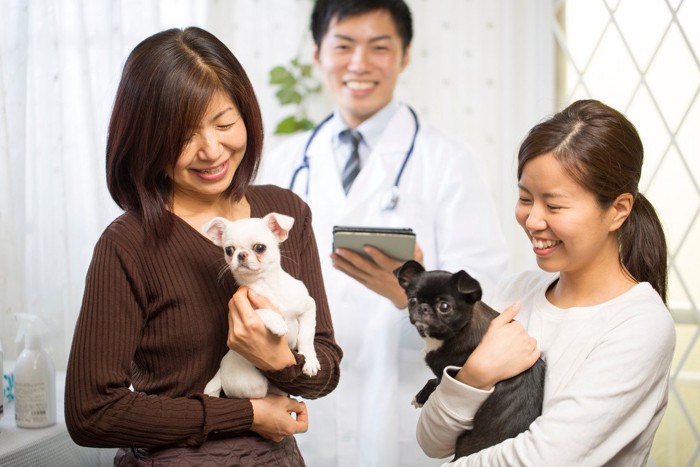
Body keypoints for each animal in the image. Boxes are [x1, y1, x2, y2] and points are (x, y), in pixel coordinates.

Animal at [202, 212, 320, 398]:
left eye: (259, 248)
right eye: (229, 250)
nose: (241, 254)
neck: (266, 284)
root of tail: (220, 371)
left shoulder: (309, 307)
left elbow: (306, 337)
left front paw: (309, 360)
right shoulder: (244, 308)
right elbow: (262, 311)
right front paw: (277, 322)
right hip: (253, 384)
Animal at [396, 262, 544, 458]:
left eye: (444, 306)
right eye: (412, 300)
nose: (423, 307)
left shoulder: (448, 372)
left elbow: (435, 381)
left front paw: (422, 396)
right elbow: (432, 381)